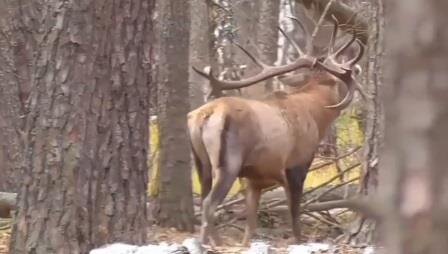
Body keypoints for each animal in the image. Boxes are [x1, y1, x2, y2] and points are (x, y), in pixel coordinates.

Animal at [187, 17, 366, 246]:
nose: (357, 70)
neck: (316, 116)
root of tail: (204, 115)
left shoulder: (254, 179)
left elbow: (250, 225)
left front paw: (245, 244)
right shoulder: (297, 164)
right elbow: (295, 214)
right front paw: (299, 241)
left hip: (202, 164)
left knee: (204, 198)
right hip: (228, 161)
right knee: (209, 203)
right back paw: (213, 244)